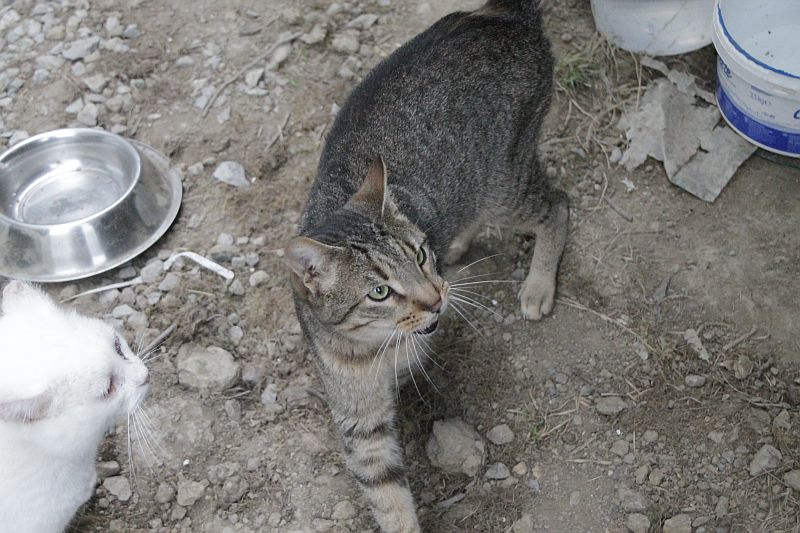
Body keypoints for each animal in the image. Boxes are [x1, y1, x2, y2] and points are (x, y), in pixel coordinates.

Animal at [284, 1, 567, 531]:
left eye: (416, 254)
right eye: (378, 292)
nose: (436, 296)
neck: (378, 349)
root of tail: (501, 16)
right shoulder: (361, 423)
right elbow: (386, 495)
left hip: (504, 186)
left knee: (558, 205)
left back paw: (537, 286)